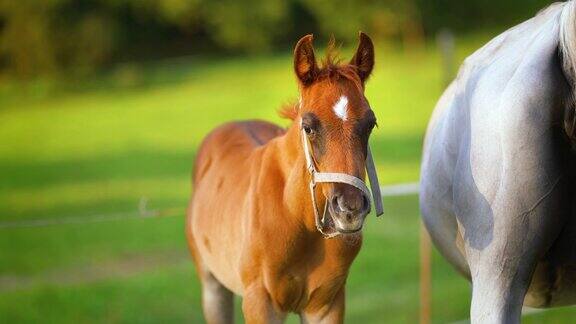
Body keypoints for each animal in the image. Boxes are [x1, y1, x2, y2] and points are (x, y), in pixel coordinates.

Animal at [187, 33, 380, 324]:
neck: (296, 216)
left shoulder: (327, 305)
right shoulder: (260, 303)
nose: (350, 208)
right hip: (213, 286)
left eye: (370, 124)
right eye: (308, 126)